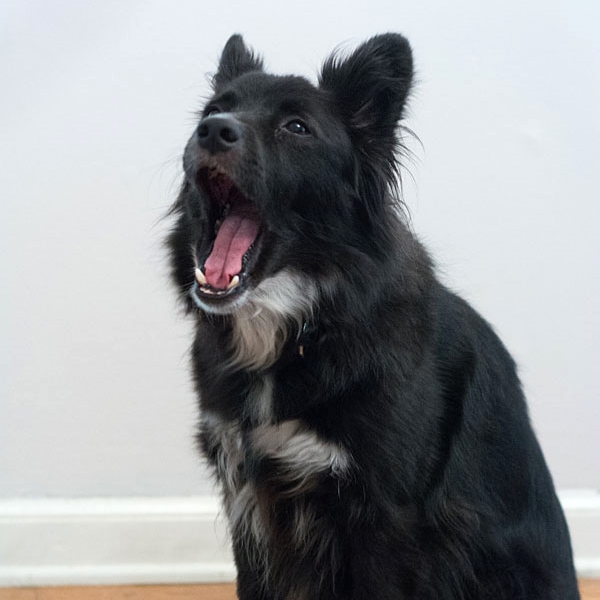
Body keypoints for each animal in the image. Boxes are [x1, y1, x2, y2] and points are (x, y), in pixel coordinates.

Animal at [166, 34, 580, 600]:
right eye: (211, 110)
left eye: (297, 127)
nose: (211, 130)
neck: (299, 327)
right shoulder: (247, 496)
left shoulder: (386, 517)